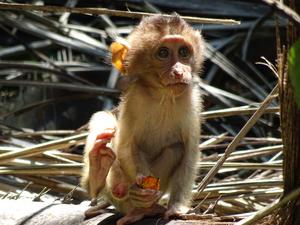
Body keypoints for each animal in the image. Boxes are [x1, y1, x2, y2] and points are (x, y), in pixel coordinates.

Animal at [81, 14, 205, 225]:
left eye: (183, 52)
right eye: (163, 53)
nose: (180, 71)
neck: (163, 95)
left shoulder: (192, 99)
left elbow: (189, 153)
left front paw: (176, 208)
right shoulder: (134, 98)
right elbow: (126, 146)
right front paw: (141, 186)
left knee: (176, 148)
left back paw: (144, 208)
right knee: (104, 122)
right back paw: (102, 171)